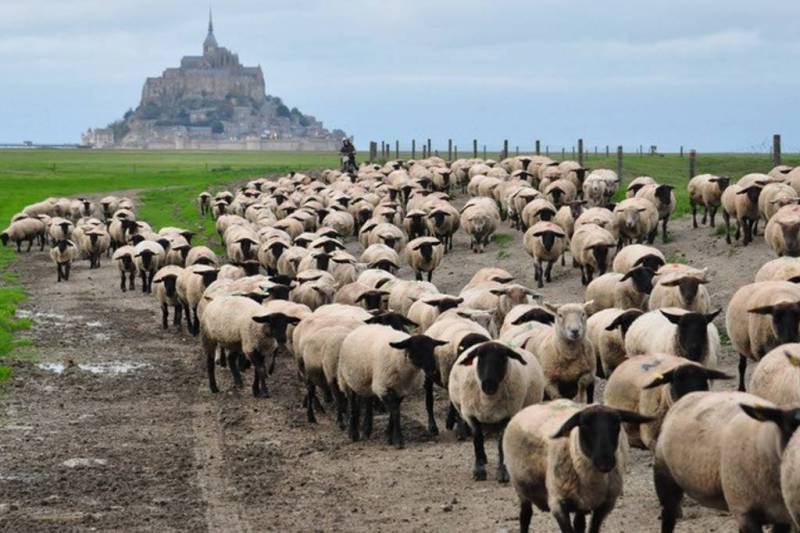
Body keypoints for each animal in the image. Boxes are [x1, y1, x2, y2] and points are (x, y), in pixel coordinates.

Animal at [450, 340, 544, 482]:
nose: (489, 385)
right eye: (480, 357)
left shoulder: (508, 415)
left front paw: (503, 472)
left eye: (503, 358)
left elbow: (501, 444)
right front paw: (479, 471)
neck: (488, 400)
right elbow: (478, 441)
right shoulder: (471, 416)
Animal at [504, 400, 652, 532]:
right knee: (525, 516)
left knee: (579, 524)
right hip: (520, 488)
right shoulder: (558, 504)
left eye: (617, 424)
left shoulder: (603, 506)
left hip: (581, 502)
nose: (605, 462)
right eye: (584, 425)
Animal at [652, 390, 796, 532]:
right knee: (668, 517)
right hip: (665, 476)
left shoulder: (784, 517)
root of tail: (687, 396)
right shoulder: (744, 511)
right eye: (789, 427)